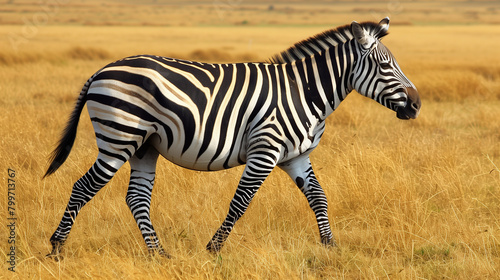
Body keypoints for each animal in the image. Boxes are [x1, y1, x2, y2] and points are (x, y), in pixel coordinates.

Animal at [43, 17, 420, 258]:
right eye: (385, 66)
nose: (416, 105)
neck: (305, 91)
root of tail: (101, 70)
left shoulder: (296, 156)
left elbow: (319, 198)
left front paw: (330, 247)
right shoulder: (265, 150)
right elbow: (241, 202)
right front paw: (214, 249)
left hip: (144, 146)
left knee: (136, 198)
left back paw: (159, 254)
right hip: (119, 137)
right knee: (82, 187)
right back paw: (57, 248)